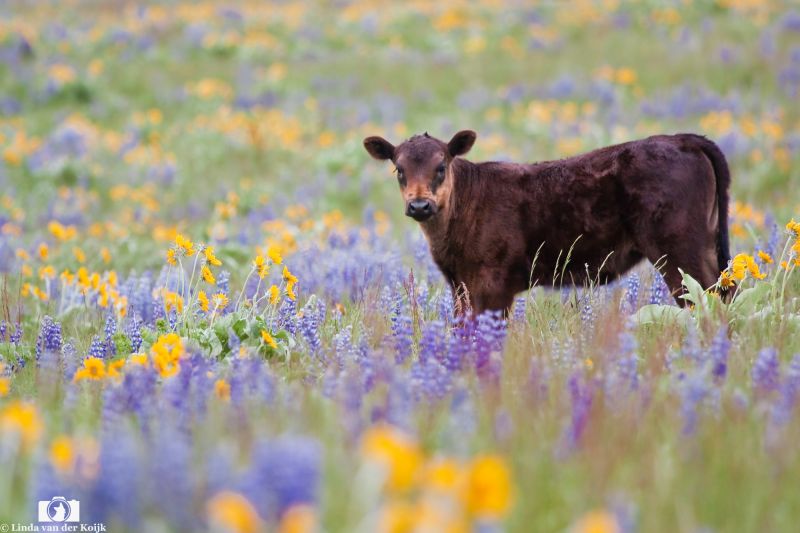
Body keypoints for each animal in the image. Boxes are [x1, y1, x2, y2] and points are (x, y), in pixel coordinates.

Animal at [363, 130, 731, 316]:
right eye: (399, 169)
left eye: (441, 166)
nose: (419, 205)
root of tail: (684, 139)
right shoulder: (460, 286)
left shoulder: (492, 285)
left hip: (679, 252)